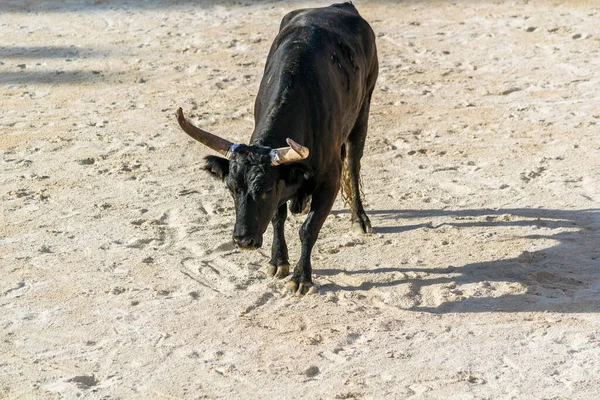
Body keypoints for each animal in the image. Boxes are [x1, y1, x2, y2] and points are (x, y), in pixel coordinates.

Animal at [176, 3, 378, 296]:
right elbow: (277, 217)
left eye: (266, 189)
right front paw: (278, 262)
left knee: (353, 162)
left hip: (364, 107)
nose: (243, 240)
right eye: (231, 188)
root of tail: (339, 6)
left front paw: (301, 277)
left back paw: (359, 219)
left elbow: (308, 229)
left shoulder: (328, 181)